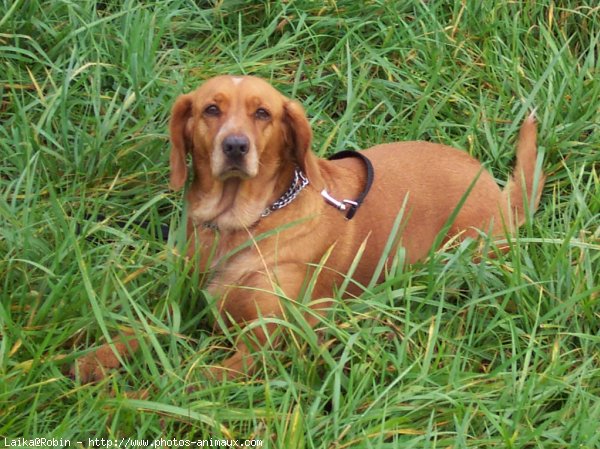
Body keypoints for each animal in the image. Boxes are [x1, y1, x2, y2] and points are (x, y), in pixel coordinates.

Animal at [70, 74, 544, 382]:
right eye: (211, 109)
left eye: (263, 113)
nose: (236, 146)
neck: (236, 226)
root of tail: (496, 190)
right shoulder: (182, 306)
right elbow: (138, 330)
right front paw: (94, 361)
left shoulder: (262, 343)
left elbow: (189, 379)